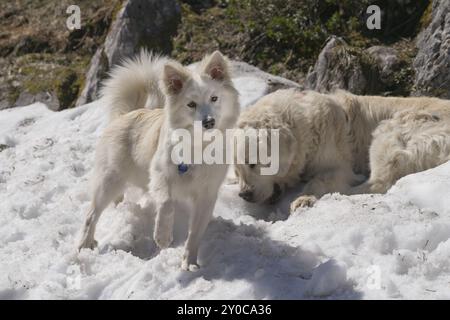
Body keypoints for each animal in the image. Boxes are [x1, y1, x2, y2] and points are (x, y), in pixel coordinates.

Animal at [78, 50, 241, 270]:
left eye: (214, 98)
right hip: (109, 181)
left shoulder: (207, 195)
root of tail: (124, 115)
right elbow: (166, 203)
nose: (209, 122)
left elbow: (195, 233)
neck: (198, 146)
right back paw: (85, 245)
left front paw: (189, 262)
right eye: (191, 104)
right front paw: (162, 237)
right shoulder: (160, 175)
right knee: (91, 215)